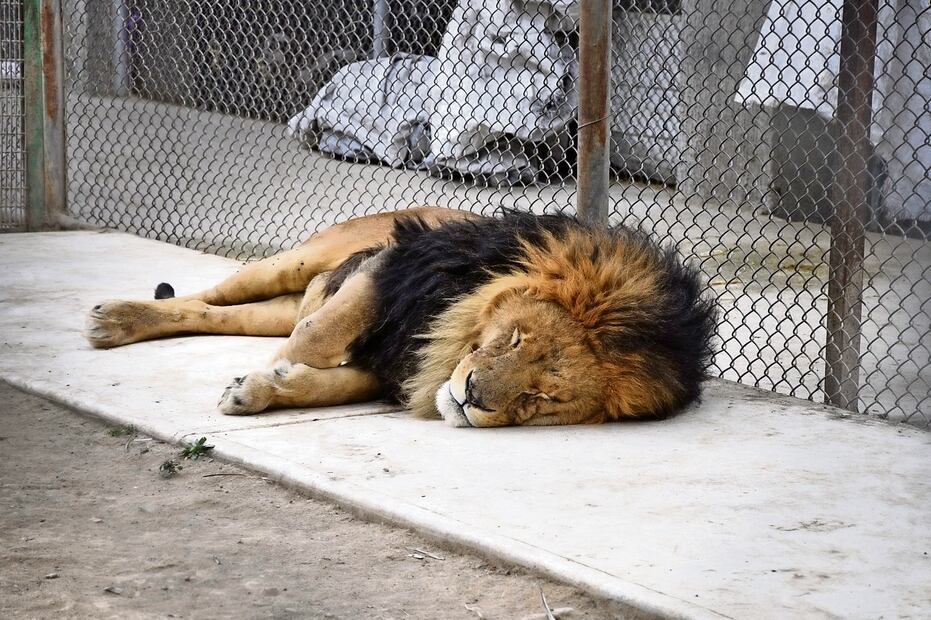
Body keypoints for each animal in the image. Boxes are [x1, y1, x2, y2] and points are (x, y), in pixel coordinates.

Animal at [85, 207, 717, 427]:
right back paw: (112, 319)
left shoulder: (391, 368)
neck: (453, 336)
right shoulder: (393, 264)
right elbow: (317, 337)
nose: (471, 396)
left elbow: (323, 382)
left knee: (214, 313)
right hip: (299, 261)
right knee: (208, 295)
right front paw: (262, 375)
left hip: (275, 303)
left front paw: (261, 388)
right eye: (515, 339)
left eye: (544, 397)